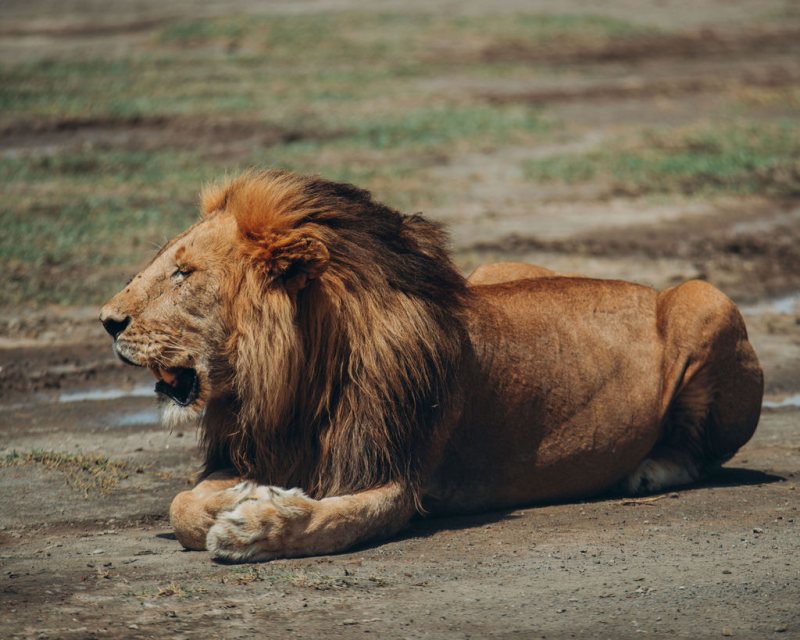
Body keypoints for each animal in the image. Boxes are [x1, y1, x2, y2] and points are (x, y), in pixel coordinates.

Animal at [100, 169, 763, 562]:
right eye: (169, 263)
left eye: (183, 273)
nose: (106, 321)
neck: (292, 385)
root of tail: (645, 288)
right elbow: (180, 505)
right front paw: (242, 495)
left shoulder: (395, 476)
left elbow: (331, 521)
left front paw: (256, 526)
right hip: (495, 270)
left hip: (708, 300)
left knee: (702, 454)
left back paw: (648, 471)